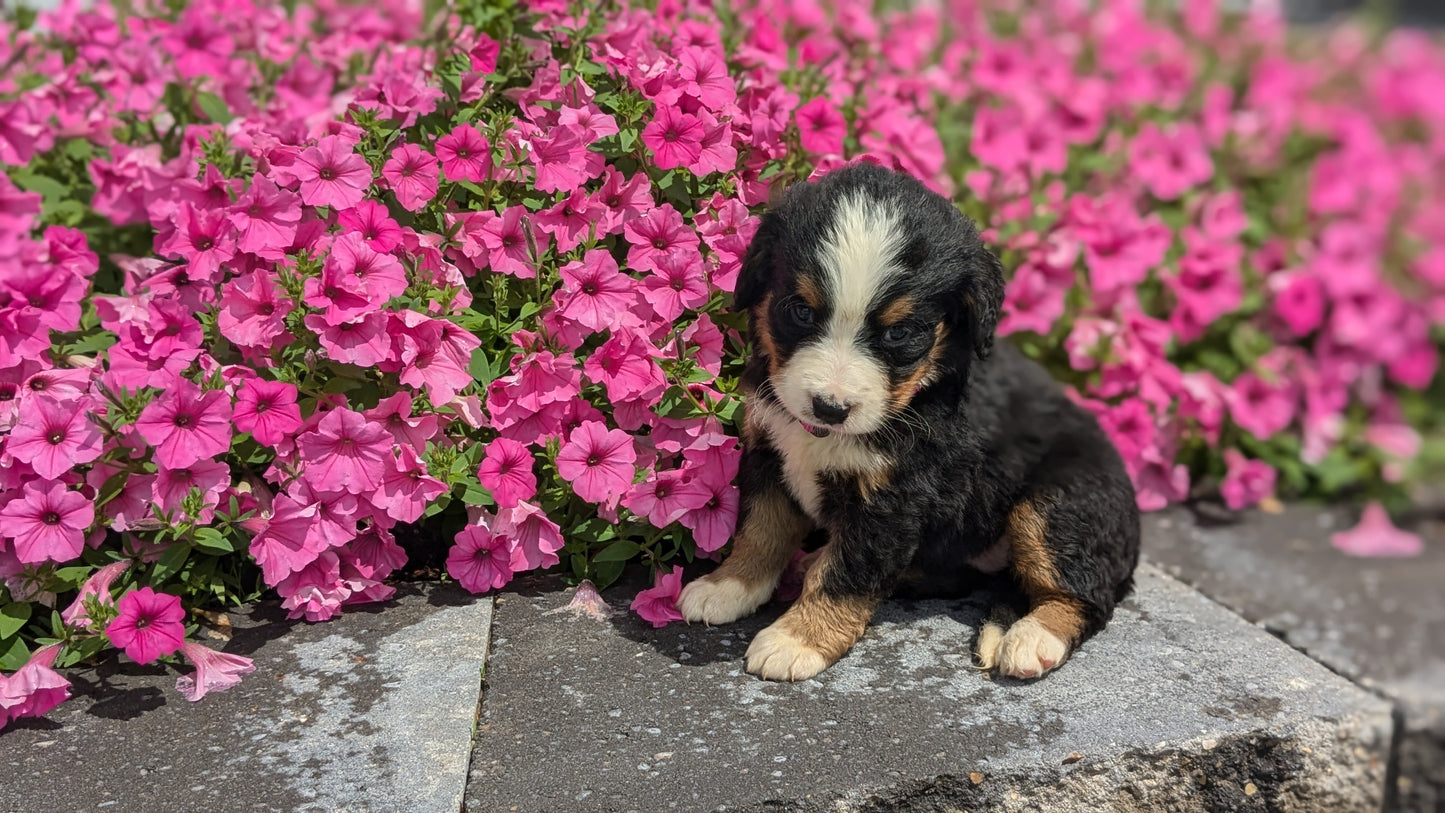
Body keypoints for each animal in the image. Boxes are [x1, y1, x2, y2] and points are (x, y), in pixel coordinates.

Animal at [676, 162, 1138, 684]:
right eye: (801, 311)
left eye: (898, 333)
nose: (829, 407)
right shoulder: (768, 452)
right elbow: (761, 529)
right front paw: (729, 586)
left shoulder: (893, 499)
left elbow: (846, 574)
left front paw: (797, 639)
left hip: (1060, 503)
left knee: (1084, 593)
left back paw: (1032, 638)